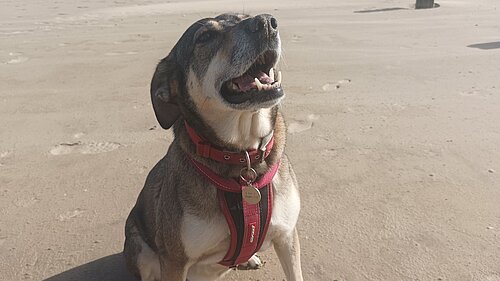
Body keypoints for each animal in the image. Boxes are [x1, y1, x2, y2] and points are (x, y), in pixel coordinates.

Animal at [124, 13, 304, 280]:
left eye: (245, 17)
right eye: (205, 37)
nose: (266, 22)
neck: (243, 155)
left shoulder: (287, 236)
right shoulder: (174, 260)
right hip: (139, 246)